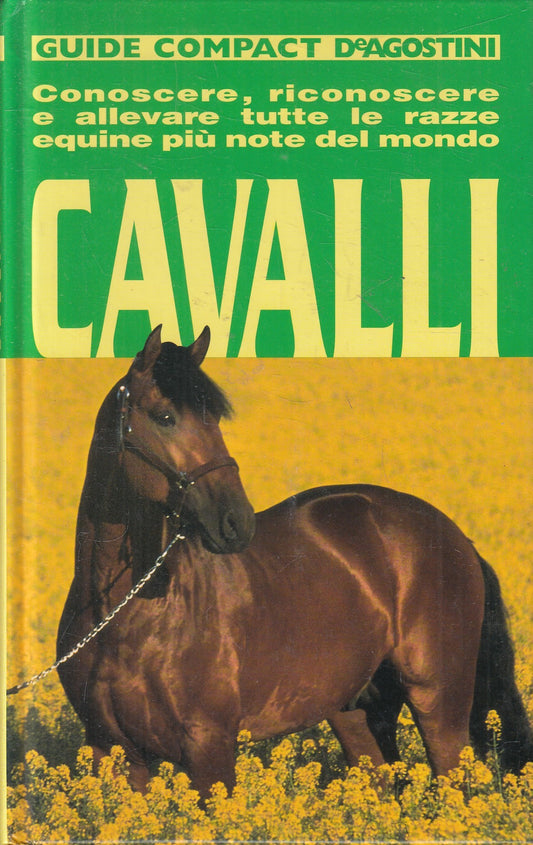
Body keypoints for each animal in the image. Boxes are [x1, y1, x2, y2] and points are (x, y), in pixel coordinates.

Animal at [57, 325, 533, 797]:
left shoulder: (209, 748)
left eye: (214, 420)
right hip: (355, 712)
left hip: (438, 700)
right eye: (165, 416)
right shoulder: (112, 751)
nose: (237, 522)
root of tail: (456, 536)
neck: (123, 615)